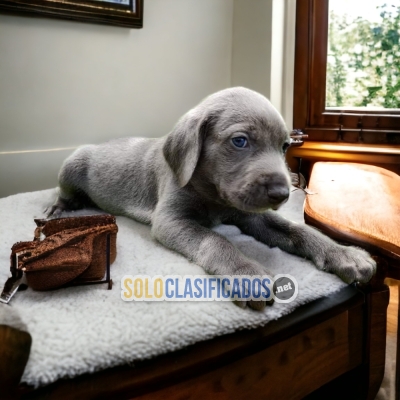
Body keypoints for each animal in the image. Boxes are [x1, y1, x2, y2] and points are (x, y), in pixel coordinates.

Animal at [48, 86, 376, 310]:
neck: (214, 197)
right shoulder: (171, 220)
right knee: (64, 192)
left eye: (284, 146)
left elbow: (297, 229)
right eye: (240, 141)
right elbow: (215, 239)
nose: (282, 194)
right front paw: (246, 274)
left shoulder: (251, 214)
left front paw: (344, 254)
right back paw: (61, 208)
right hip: (71, 166)